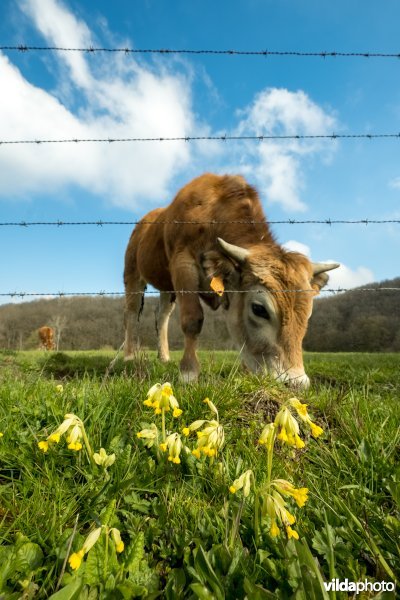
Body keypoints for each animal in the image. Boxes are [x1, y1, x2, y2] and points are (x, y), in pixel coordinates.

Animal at [123, 173, 340, 390]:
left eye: (308, 313)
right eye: (259, 309)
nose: (296, 383)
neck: (213, 212)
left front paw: (246, 374)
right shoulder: (183, 263)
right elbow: (193, 319)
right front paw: (188, 373)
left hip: (167, 288)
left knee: (163, 316)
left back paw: (164, 357)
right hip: (132, 272)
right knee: (132, 313)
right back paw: (129, 356)